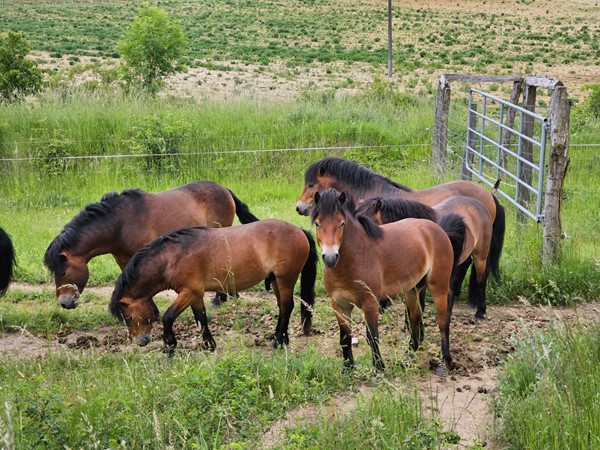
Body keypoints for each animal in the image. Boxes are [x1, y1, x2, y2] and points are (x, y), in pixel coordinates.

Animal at [44, 181, 260, 309]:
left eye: (63, 272)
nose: (64, 303)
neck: (120, 223)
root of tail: (224, 190)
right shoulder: (123, 260)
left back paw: (220, 298)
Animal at [109, 220, 317, 354]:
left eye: (129, 317)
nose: (140, 341)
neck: (171, 257)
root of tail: (299, 230)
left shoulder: (189, 292)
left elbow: (168, 317)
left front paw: (170, 345)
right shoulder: (195, 295)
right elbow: (201, 318)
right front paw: (209, 344)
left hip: (285, 279)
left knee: (287, 307)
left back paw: (279, 342)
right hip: (275, 281)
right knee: (283, 308)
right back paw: (281, 338)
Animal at [311, 189, 465, 371]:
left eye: (341, 223)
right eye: (317, 224)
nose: (330, 258)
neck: (356, 257)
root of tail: (437, 229)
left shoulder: (370, 303)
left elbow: (372, 336)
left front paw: (379, 369)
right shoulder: (340, 305)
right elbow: (344, 338)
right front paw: (347, 368)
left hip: (438, 287)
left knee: (442, 321)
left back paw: (446, 360)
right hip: (412, 290)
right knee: (415, 319)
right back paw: (407, 357)